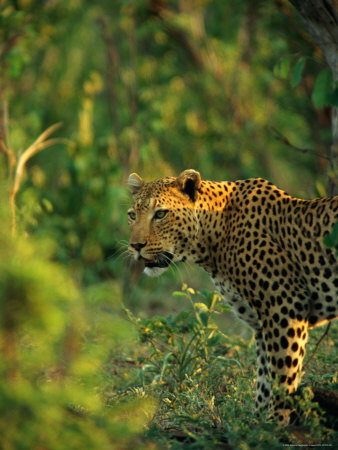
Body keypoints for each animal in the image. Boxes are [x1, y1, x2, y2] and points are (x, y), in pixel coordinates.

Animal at [127, 170, 338, 426]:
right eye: (132, 215)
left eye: (160, 214)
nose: (136, 245)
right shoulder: (262, 324)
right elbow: (264, 380)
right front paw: (257, 424)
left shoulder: (285, 307)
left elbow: (282, 376)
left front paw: (275, 425)